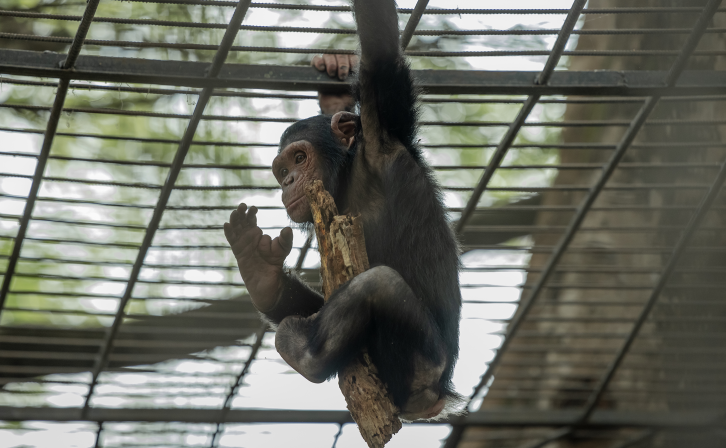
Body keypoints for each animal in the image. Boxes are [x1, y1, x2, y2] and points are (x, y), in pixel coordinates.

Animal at [224, 0, 463, 421]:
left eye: (299, 158)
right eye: (282, 171)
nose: (288, 182)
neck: (348, 176)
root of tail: (436, 399)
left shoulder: (383, 126)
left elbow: (380, 48)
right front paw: (333, 77)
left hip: (421, 368)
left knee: (379, 285)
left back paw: (302, 352)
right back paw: (260, 274)